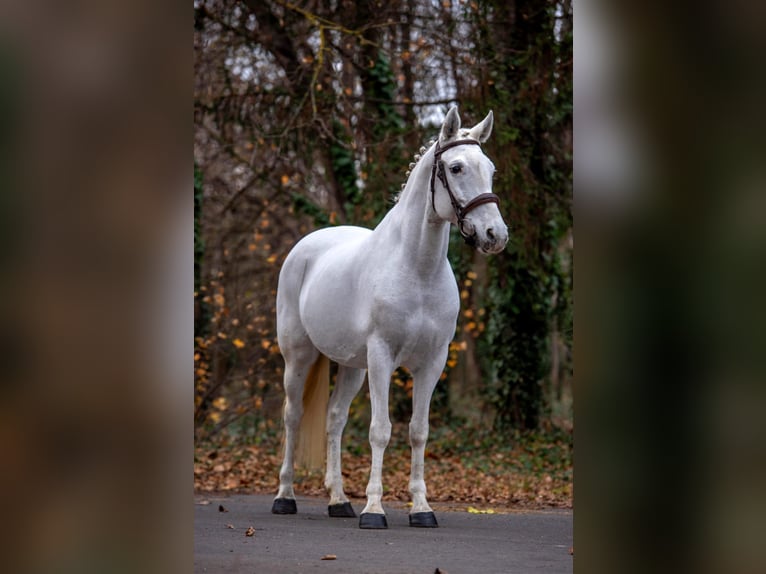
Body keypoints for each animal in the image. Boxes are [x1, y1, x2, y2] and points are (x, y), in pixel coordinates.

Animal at [271, 106, 508, 529]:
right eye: (457, 167)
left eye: (491, 169)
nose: (495, 235)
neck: (417, 270)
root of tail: (306, 246)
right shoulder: (382, 357)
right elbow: (380, 431)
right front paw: (374, 510)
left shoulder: (432, 362)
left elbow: (419, 432)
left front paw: (421, 509)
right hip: (299, 358)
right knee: (293, 416)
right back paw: (285, 497)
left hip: (352, 367)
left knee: (334, 419)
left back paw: (338, 501)